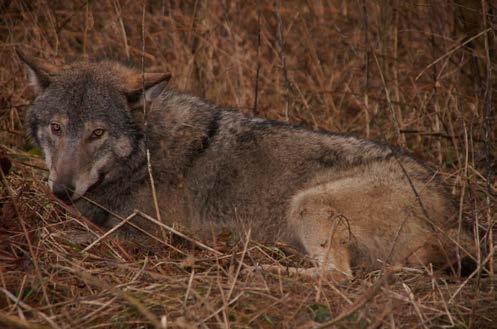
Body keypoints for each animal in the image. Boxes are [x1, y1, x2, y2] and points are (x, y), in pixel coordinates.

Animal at [18, 50, 472, 278]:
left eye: (97, 133)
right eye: (57, 128)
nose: (61, 191)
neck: (144, 154)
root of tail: (453, 218)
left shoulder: (150, 235)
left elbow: (86, 236)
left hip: (306, 204)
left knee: (336, 278)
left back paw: (258, 265)